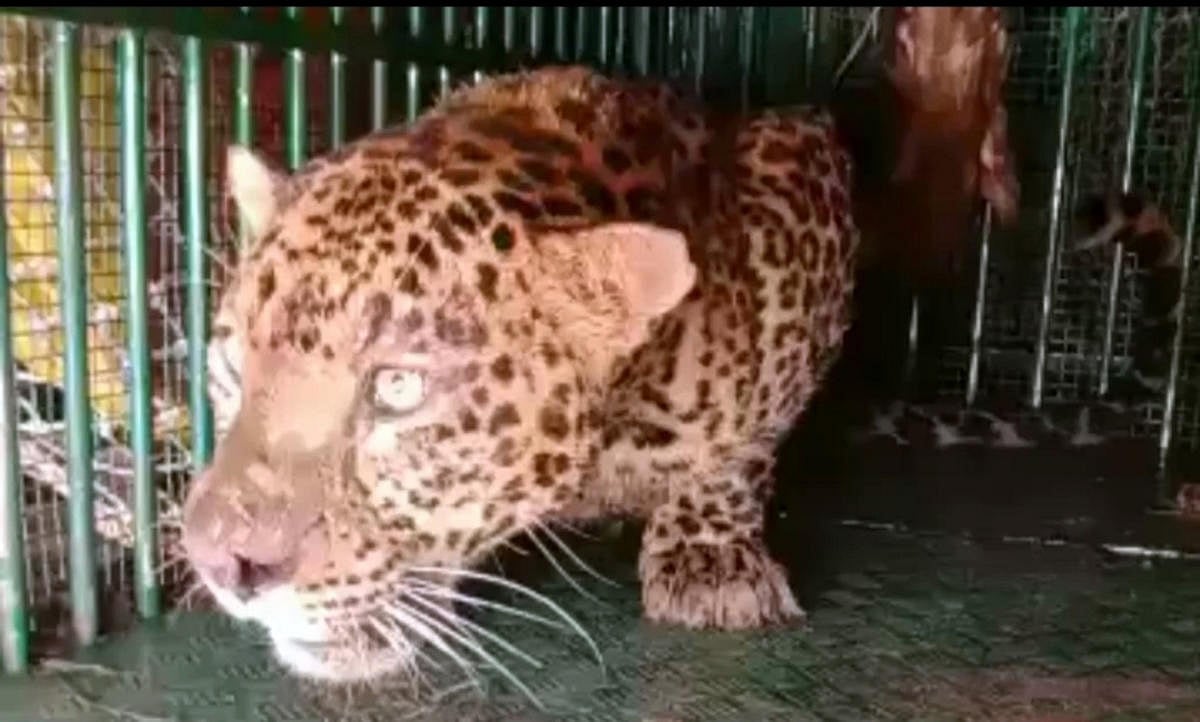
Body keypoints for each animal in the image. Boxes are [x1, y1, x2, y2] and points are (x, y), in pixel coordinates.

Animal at [180, 64, 859, 685]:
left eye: (397, 388)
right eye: (232, 366)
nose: (217, 562)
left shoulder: (804, 184)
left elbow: (744, 444)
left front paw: (712, 559)